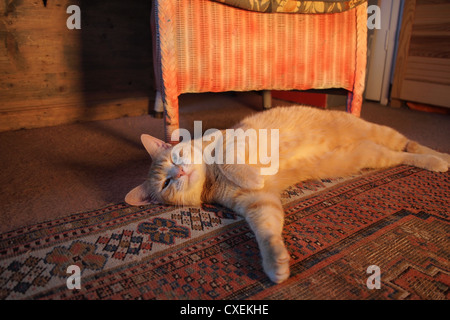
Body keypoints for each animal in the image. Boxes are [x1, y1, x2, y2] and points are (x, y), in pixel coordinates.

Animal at [124, 106, 450, 284]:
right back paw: (435, 160)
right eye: (166, 183)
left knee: (412, 144)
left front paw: (248, 173)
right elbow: (266, 231)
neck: (211, 176)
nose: (179, 173)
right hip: (372, 154)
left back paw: (441, 157)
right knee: (401, 155)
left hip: (380, 133)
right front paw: (275, 262)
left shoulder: (230, 140)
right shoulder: (258, 204)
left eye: (176, 157)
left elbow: (228, 157)